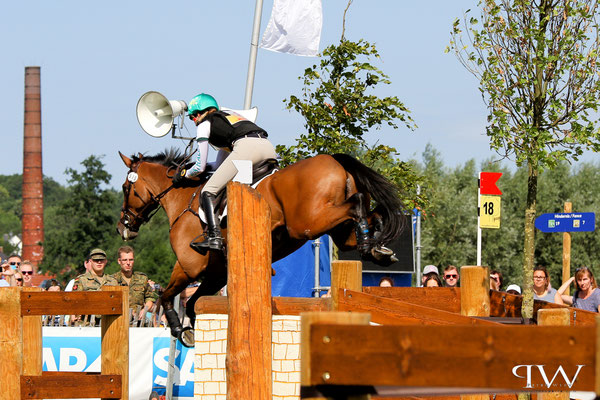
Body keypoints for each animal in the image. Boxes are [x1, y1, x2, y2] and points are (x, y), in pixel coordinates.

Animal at [116, 148, 408, 346]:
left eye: (125, 187)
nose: (123, 227)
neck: (182, 198)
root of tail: (334, 160)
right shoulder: (216, 274)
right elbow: (194, 303)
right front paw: (190, 330)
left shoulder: (189, 267)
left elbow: (166, 296)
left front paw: (180, 331)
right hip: (338, 232)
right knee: (370, 216)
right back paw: (376, 249)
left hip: (308, 223)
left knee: (357, 204)